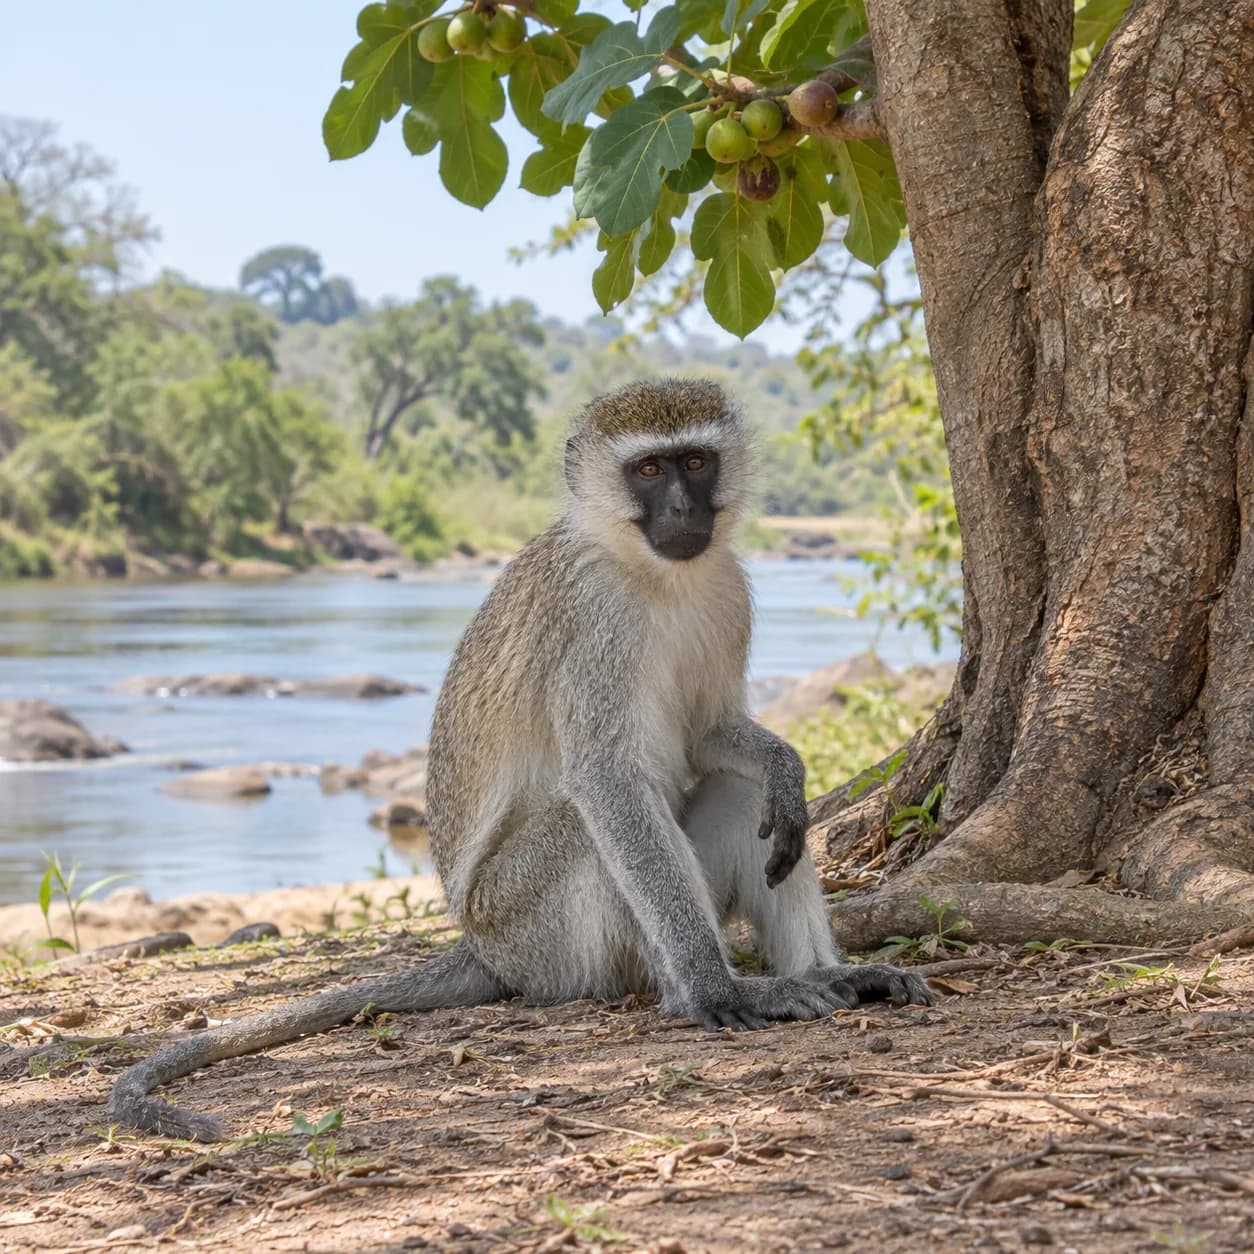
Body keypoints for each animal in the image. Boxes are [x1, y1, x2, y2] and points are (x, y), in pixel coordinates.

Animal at [107, 378, 931, 1142]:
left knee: (738, 795)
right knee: (586, 824)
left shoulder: (727, 588)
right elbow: (605, 781)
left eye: (696, 462)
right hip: (531, 931)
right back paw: (691, 992)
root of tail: (480, 946)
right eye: (648, 470)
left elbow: (710, 735)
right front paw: (716, 992)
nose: (682, 511)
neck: (650, 571)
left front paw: (786, 769)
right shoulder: (593, 621)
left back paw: (830, 972)